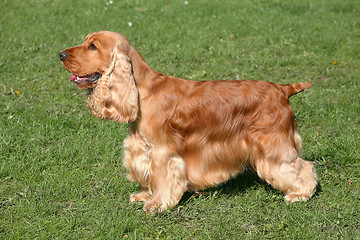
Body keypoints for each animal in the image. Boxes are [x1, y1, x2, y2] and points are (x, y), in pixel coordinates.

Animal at [59, 31, 318, 213]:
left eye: (93, 46)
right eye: (85, 41)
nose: (60, 55)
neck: (142, 91)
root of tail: (282, 89)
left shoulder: (163, 152)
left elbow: (163, 178)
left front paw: (157, 205)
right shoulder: (142, 148)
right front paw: (143, 195)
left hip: (274, 144)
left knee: (302, 167)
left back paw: (300, 194)